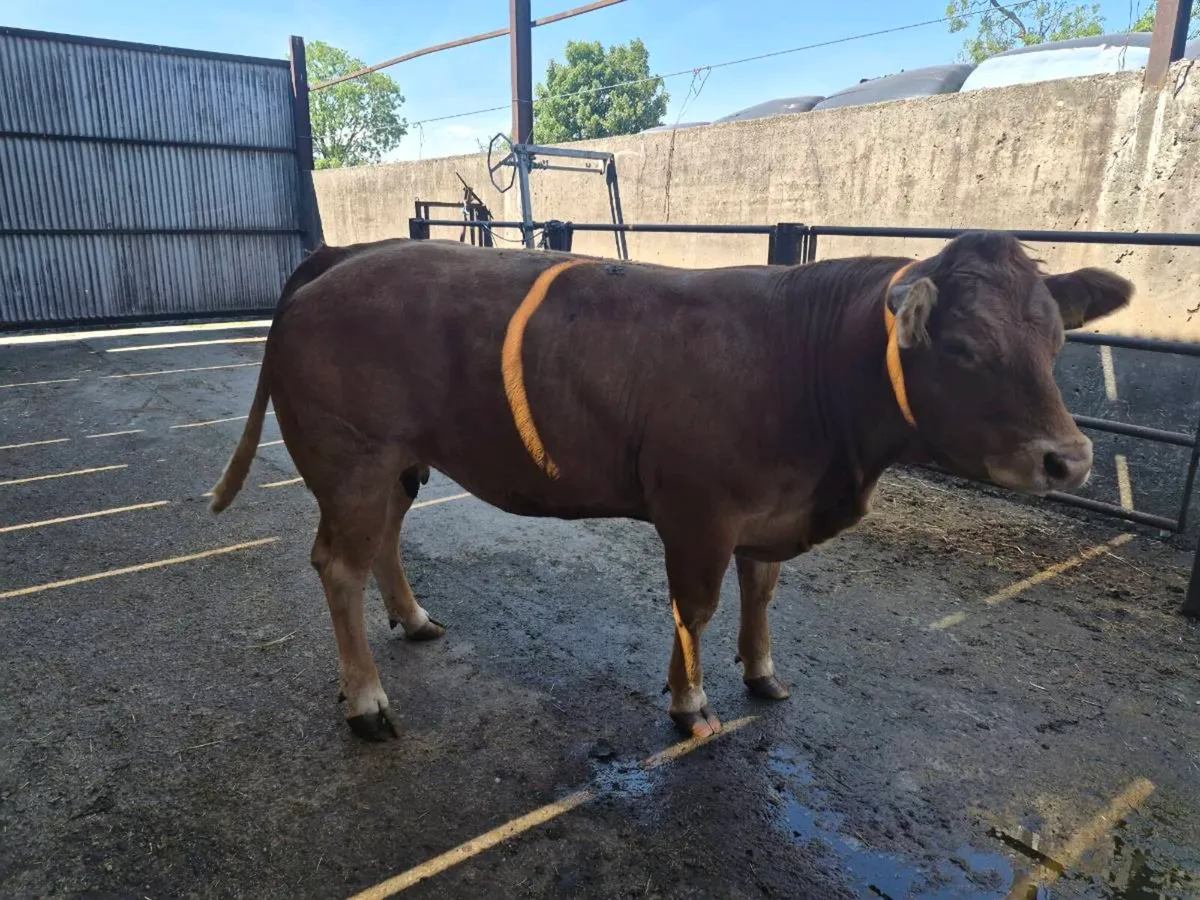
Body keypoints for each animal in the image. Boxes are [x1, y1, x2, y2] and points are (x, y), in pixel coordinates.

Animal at [209, 232, 1132, 742]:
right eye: (966, 348)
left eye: (1056, 340)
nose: (1071, 461)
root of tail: (341, 258)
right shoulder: (699, 510)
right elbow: (698, 608)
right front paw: (690, 705)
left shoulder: (771, 509)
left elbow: (762, 592)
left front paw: (763, 673)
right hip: (350, 459)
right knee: (339, 564)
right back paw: (366, 702)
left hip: (396, 461)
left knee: (384, 544)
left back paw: (415, 620)